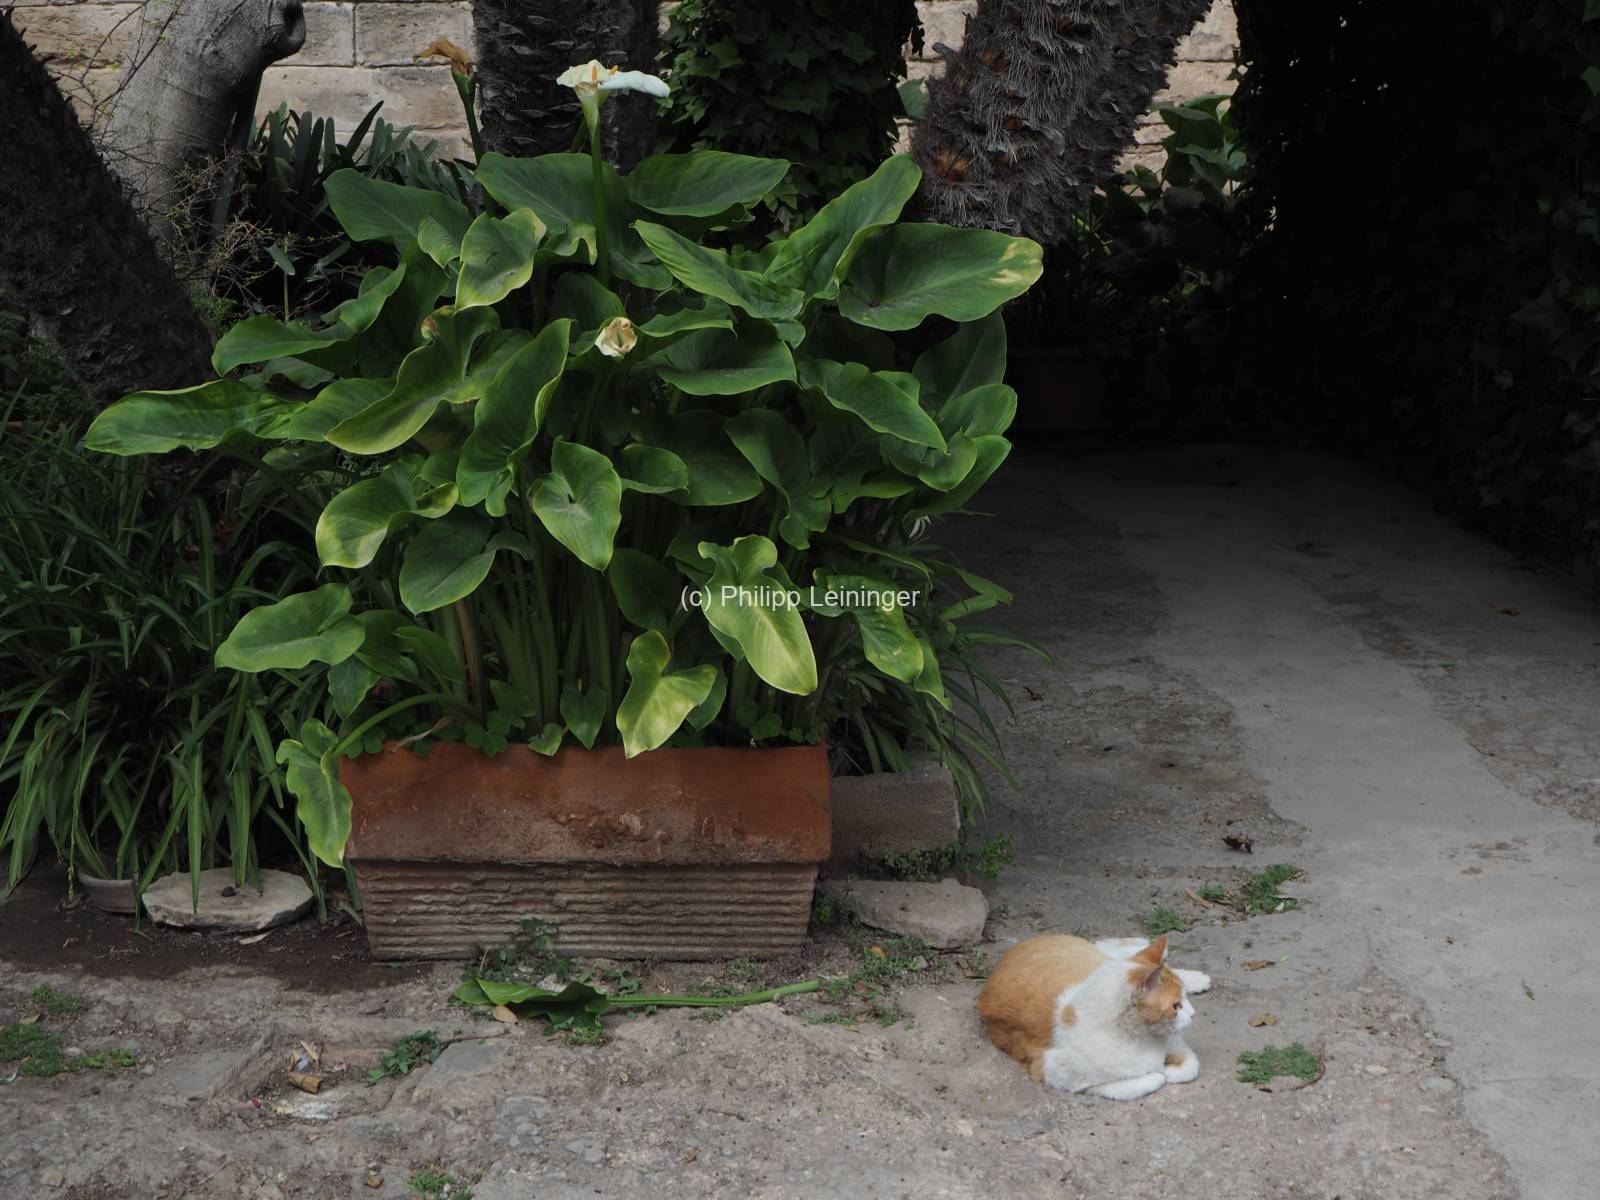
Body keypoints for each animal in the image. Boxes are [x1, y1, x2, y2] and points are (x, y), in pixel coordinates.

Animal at [977, 933, 1212, 1100]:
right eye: (1176, 1005)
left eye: (1183, 999)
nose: (1193, 1013)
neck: (1140, 1039)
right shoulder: (1055, 1074)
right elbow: (1131, 1085)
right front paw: (1160, 1073)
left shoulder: (1171, 1039)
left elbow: (1191, 1065)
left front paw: (1169, 1070)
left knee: (1103, 944)